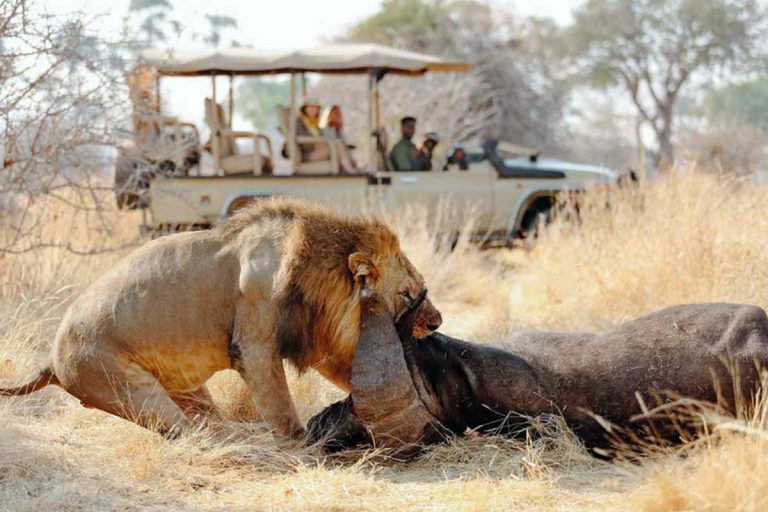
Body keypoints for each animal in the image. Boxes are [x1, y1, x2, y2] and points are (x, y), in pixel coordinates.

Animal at [0, 198, 440, 438]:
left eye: (421, 286)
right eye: (409, 293)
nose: (437, 321)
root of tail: (50, 358)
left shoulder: (323, 341)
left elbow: (356, 378)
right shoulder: (255, 346)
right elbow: (281, 408)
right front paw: (306, 450)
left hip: (187, 390)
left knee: (208, 420)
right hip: (129, 390)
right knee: (185, 432)